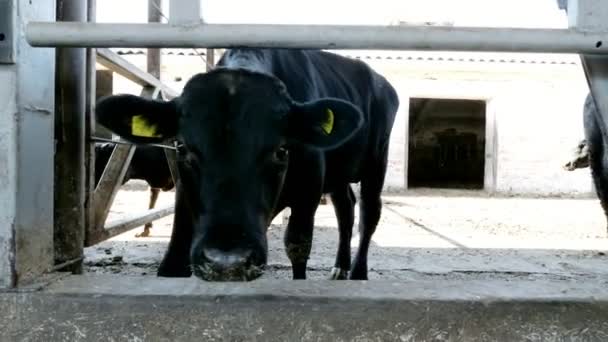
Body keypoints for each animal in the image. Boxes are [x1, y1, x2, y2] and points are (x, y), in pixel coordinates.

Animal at [95, 49, 400, 282]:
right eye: (181, 147)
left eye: (281, 150)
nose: (227, 261)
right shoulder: (184, 195)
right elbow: (175, 253)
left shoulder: (309, 189)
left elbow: (298, 245)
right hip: (339, 175)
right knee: (346, 209)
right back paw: (340, 267)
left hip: (376, 165)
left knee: (368, 214)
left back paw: (358, 273)